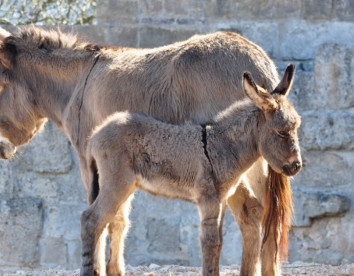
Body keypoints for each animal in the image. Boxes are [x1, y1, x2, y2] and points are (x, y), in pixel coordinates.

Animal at [81, 65, 302, 276]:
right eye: (282, 132)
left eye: (296, 127)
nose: (296, 166)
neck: (224, 145)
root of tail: (95, 135)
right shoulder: (209, 199)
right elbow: (211, 242)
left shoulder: (221, 199)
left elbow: (219, 242)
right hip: (116, 184)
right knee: (91, 220)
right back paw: (88, 270)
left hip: (122, 186)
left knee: (107, 221)